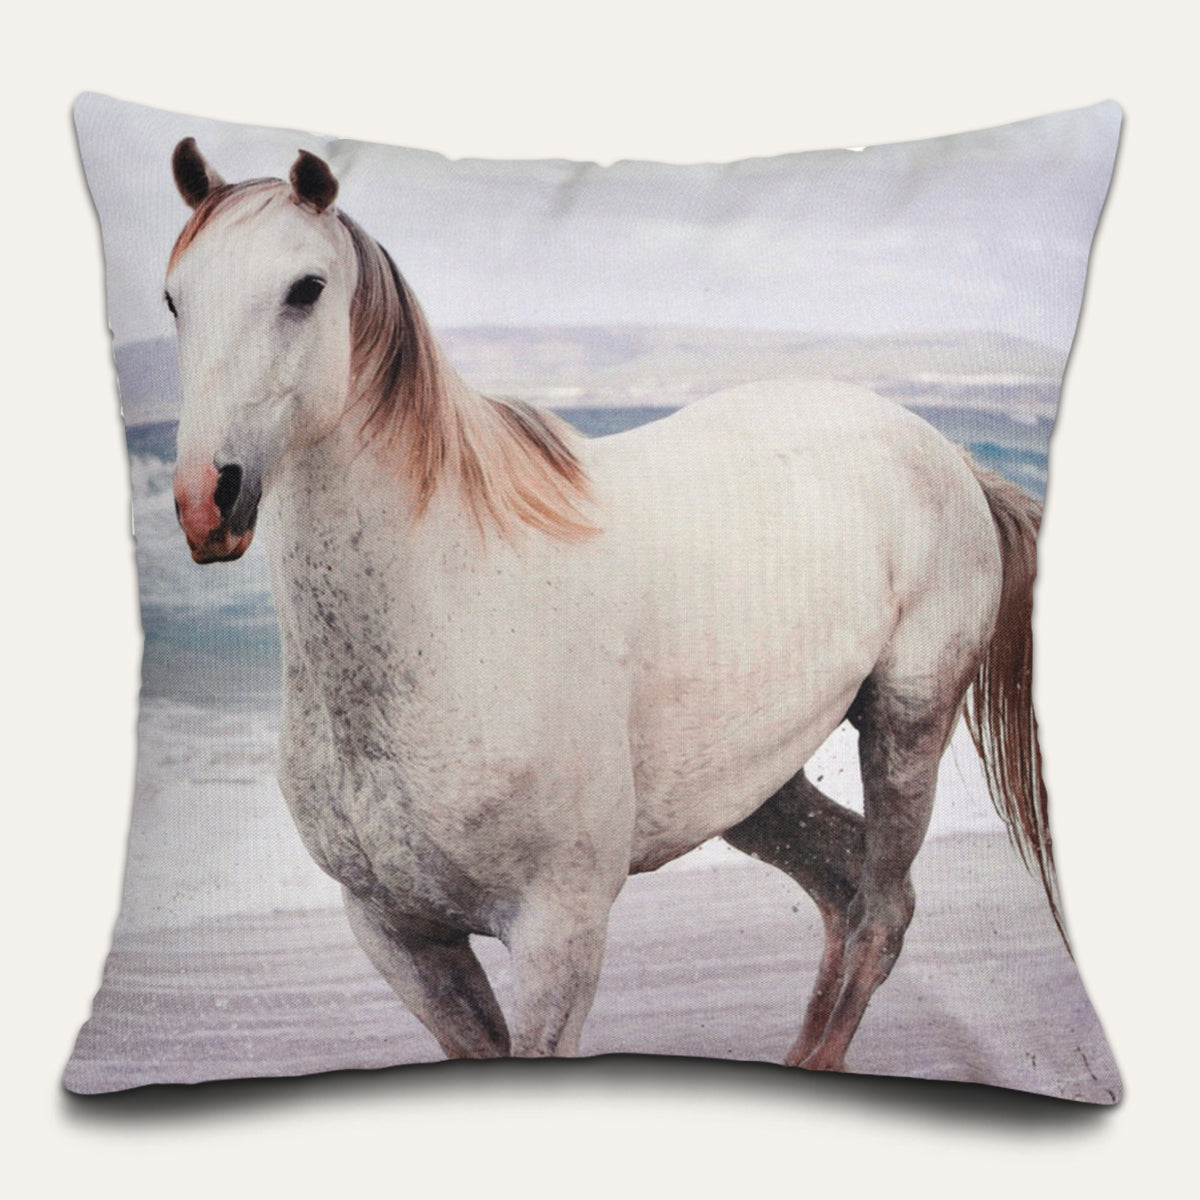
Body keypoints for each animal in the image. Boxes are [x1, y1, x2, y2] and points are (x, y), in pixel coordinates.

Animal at [166, 138, 1057, 1070]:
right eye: (173, 299)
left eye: (305, 288)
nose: (206, 500)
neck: (447, 610)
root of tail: (947, 451)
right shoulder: (400, 936)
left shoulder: (557, 933)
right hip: (752, 785)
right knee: (844, 885)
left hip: (906, 724)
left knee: (883, 908)